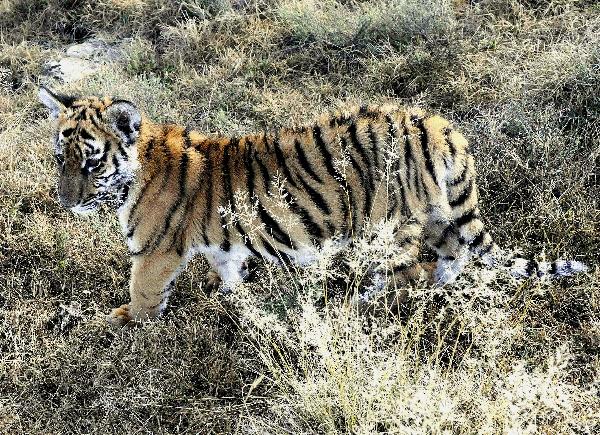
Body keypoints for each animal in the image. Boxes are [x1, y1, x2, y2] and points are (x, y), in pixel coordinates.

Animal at [39, 86, 588, 328]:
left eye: (90, 163)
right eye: (60, 158)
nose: (65, 203)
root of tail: (436, 125)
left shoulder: (153, 252)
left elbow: (142, 295)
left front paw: (120, 321)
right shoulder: (221, 247)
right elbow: (229, 271)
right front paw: (235, 302)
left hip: (389, 225)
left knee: (410, 269)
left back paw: (359, 302)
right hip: (438, 213)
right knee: (450, 258)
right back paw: (435, 293)